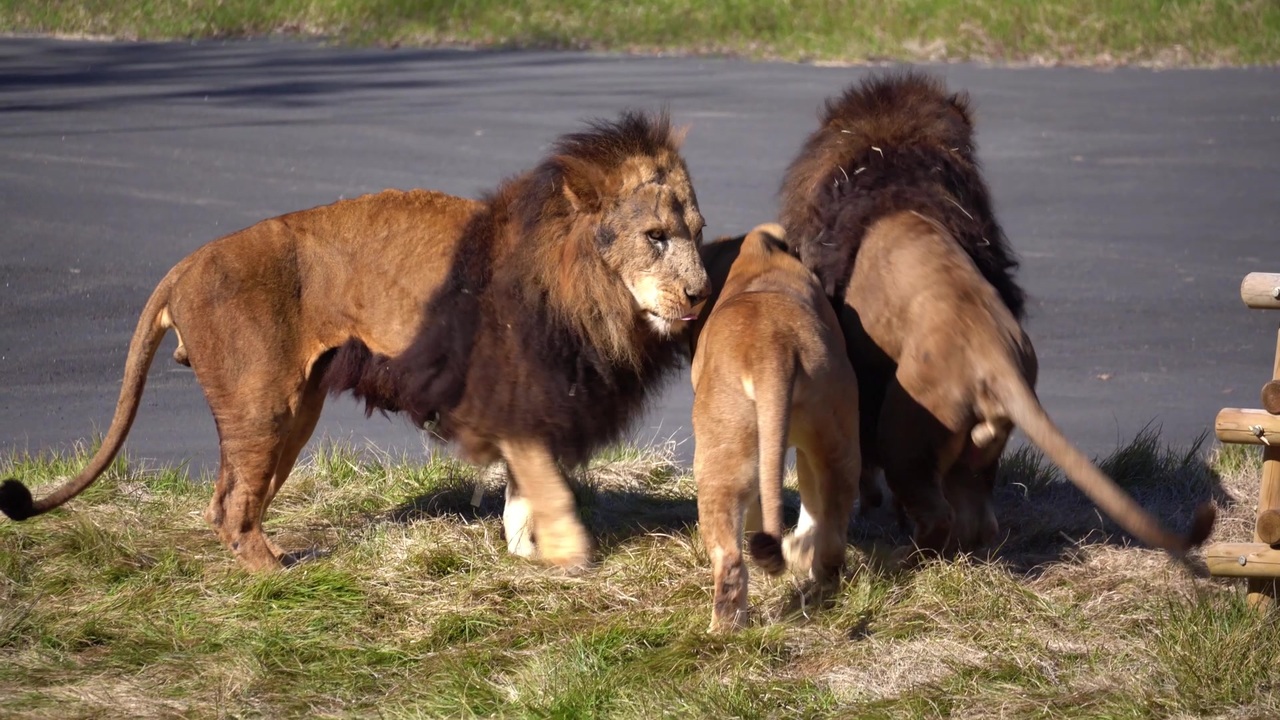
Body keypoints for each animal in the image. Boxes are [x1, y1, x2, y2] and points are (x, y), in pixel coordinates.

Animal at [0, 110, 711, 571]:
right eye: (655, 237)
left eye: (698, 234)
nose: (703, 294)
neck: (589, 292)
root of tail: (187, 262)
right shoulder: (512, 390)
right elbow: (546, 486)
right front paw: (568, 557)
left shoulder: (529, 401)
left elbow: (524, 492)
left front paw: (523, 555)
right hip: (264, 403)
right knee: (231, 506)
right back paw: (279, 578)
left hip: (293, 413)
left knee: (229, 501)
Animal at [691, 222, 860, 627]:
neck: (758, 258)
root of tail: (773, 349)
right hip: (835, 434)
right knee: (831, 525)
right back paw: (820, 582)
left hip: (720, 452)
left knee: (730, 558)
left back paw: (722, 631)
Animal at [773, 73, 1213, 556]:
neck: (892, 153)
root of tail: (993, 358)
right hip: (978, 449)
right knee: (979, 519)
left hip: (905, 432)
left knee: (936, 512)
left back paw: (911, 553)